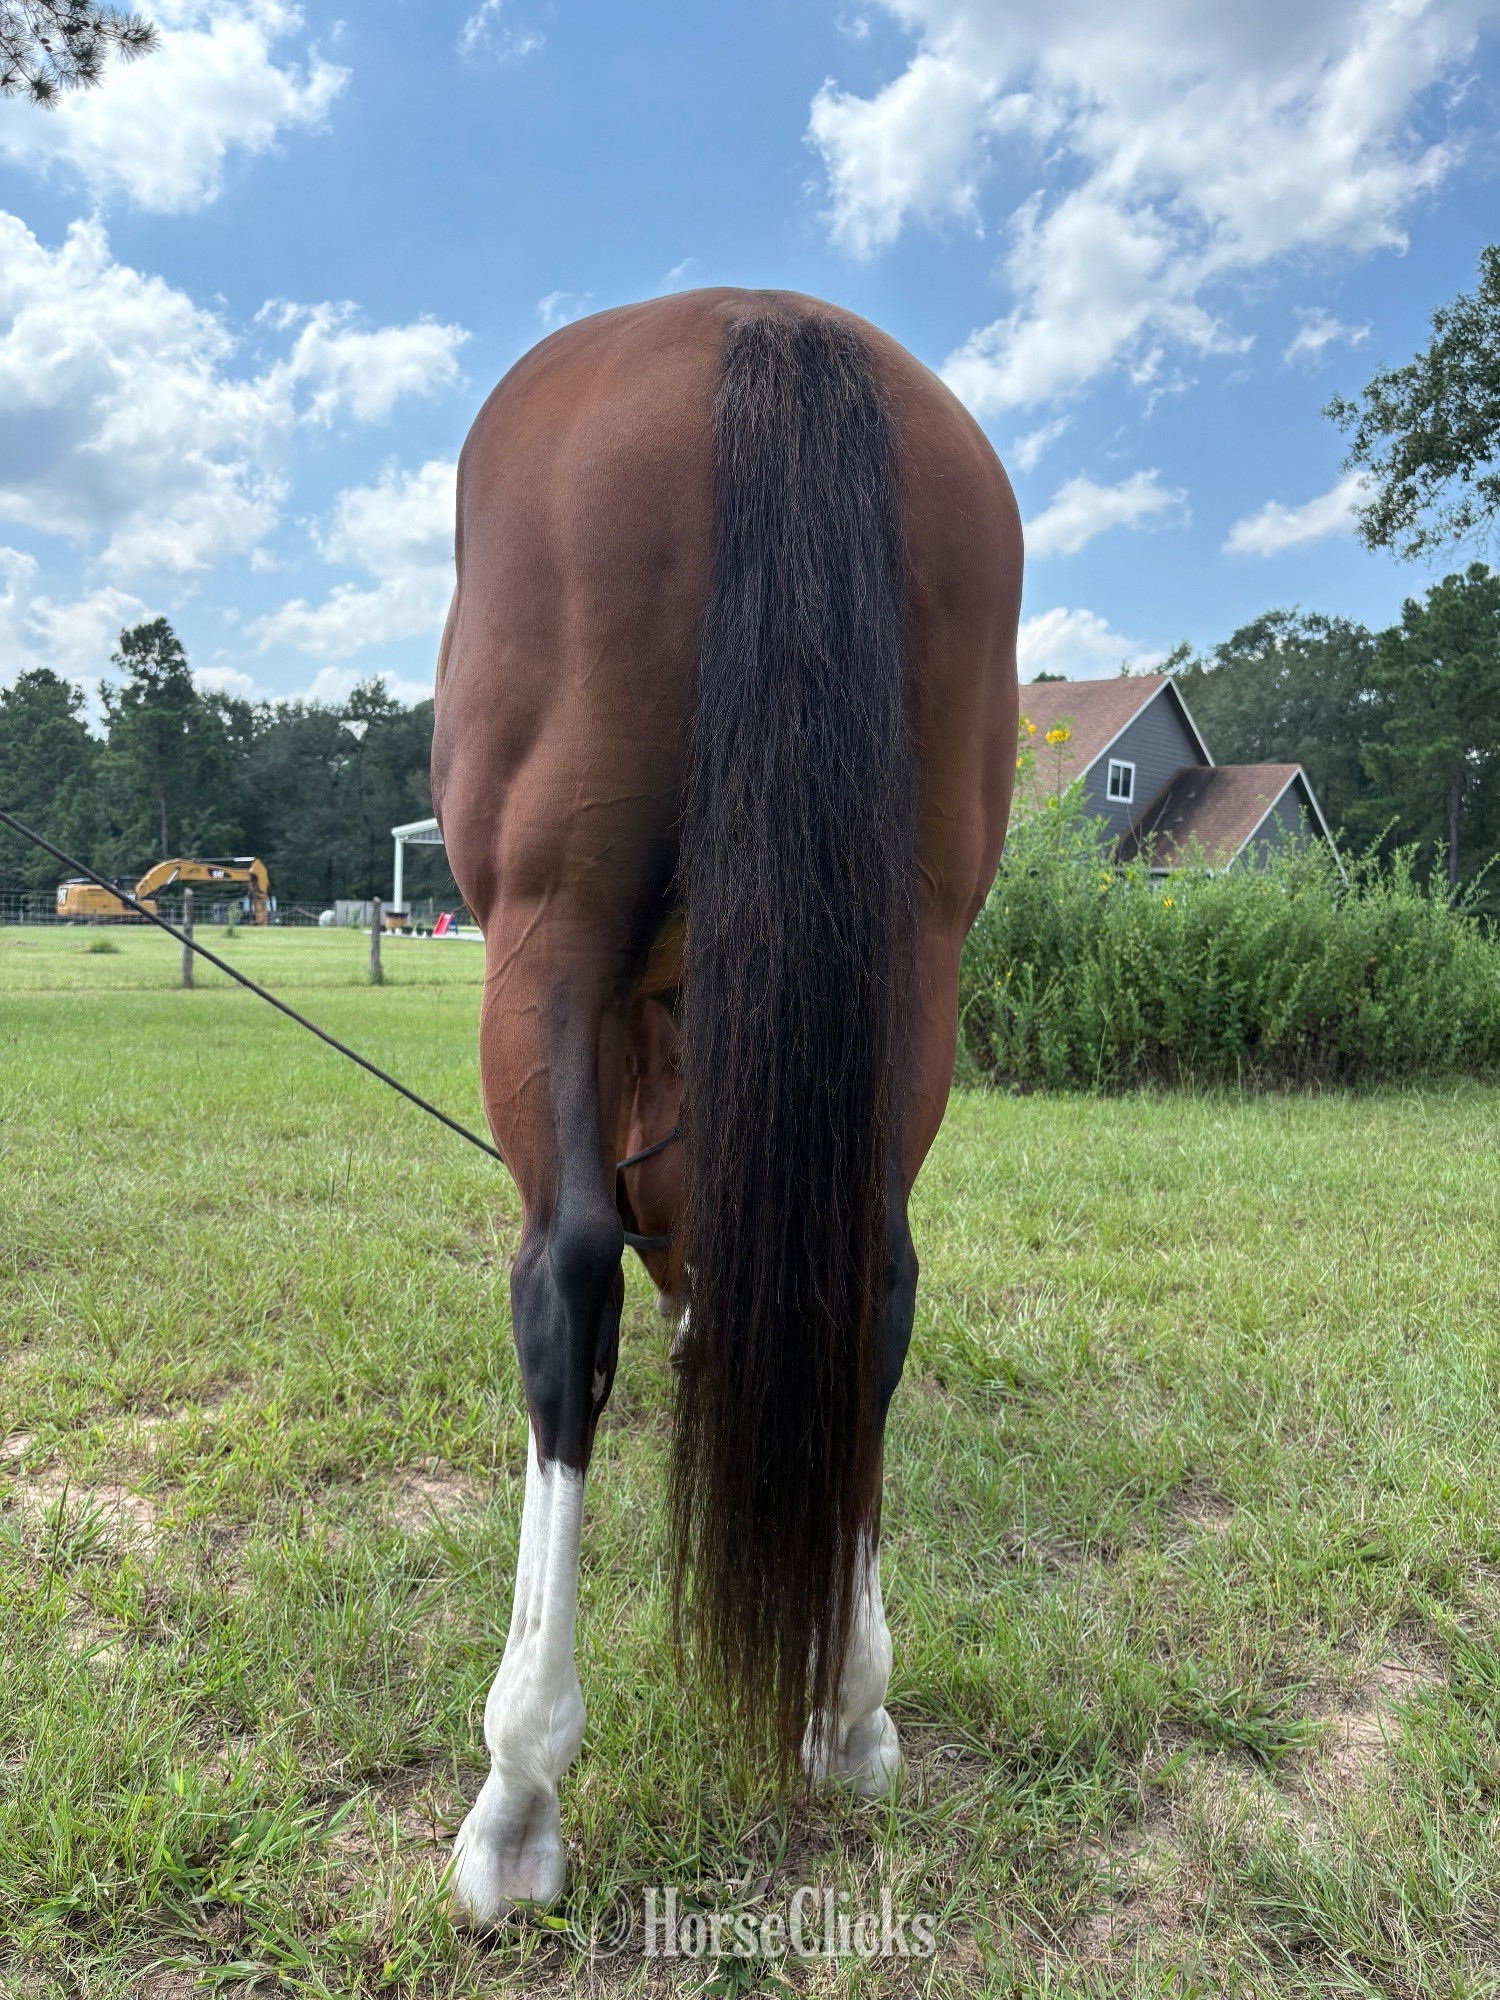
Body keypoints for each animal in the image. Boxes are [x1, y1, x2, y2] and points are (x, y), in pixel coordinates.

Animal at [430, 289, 1021, 1926]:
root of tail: (773, 327)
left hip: (547, 922)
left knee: (565, 1274)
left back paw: (520, 1791)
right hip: (914, 951)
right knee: (876, 1281)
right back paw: (852, 1711)